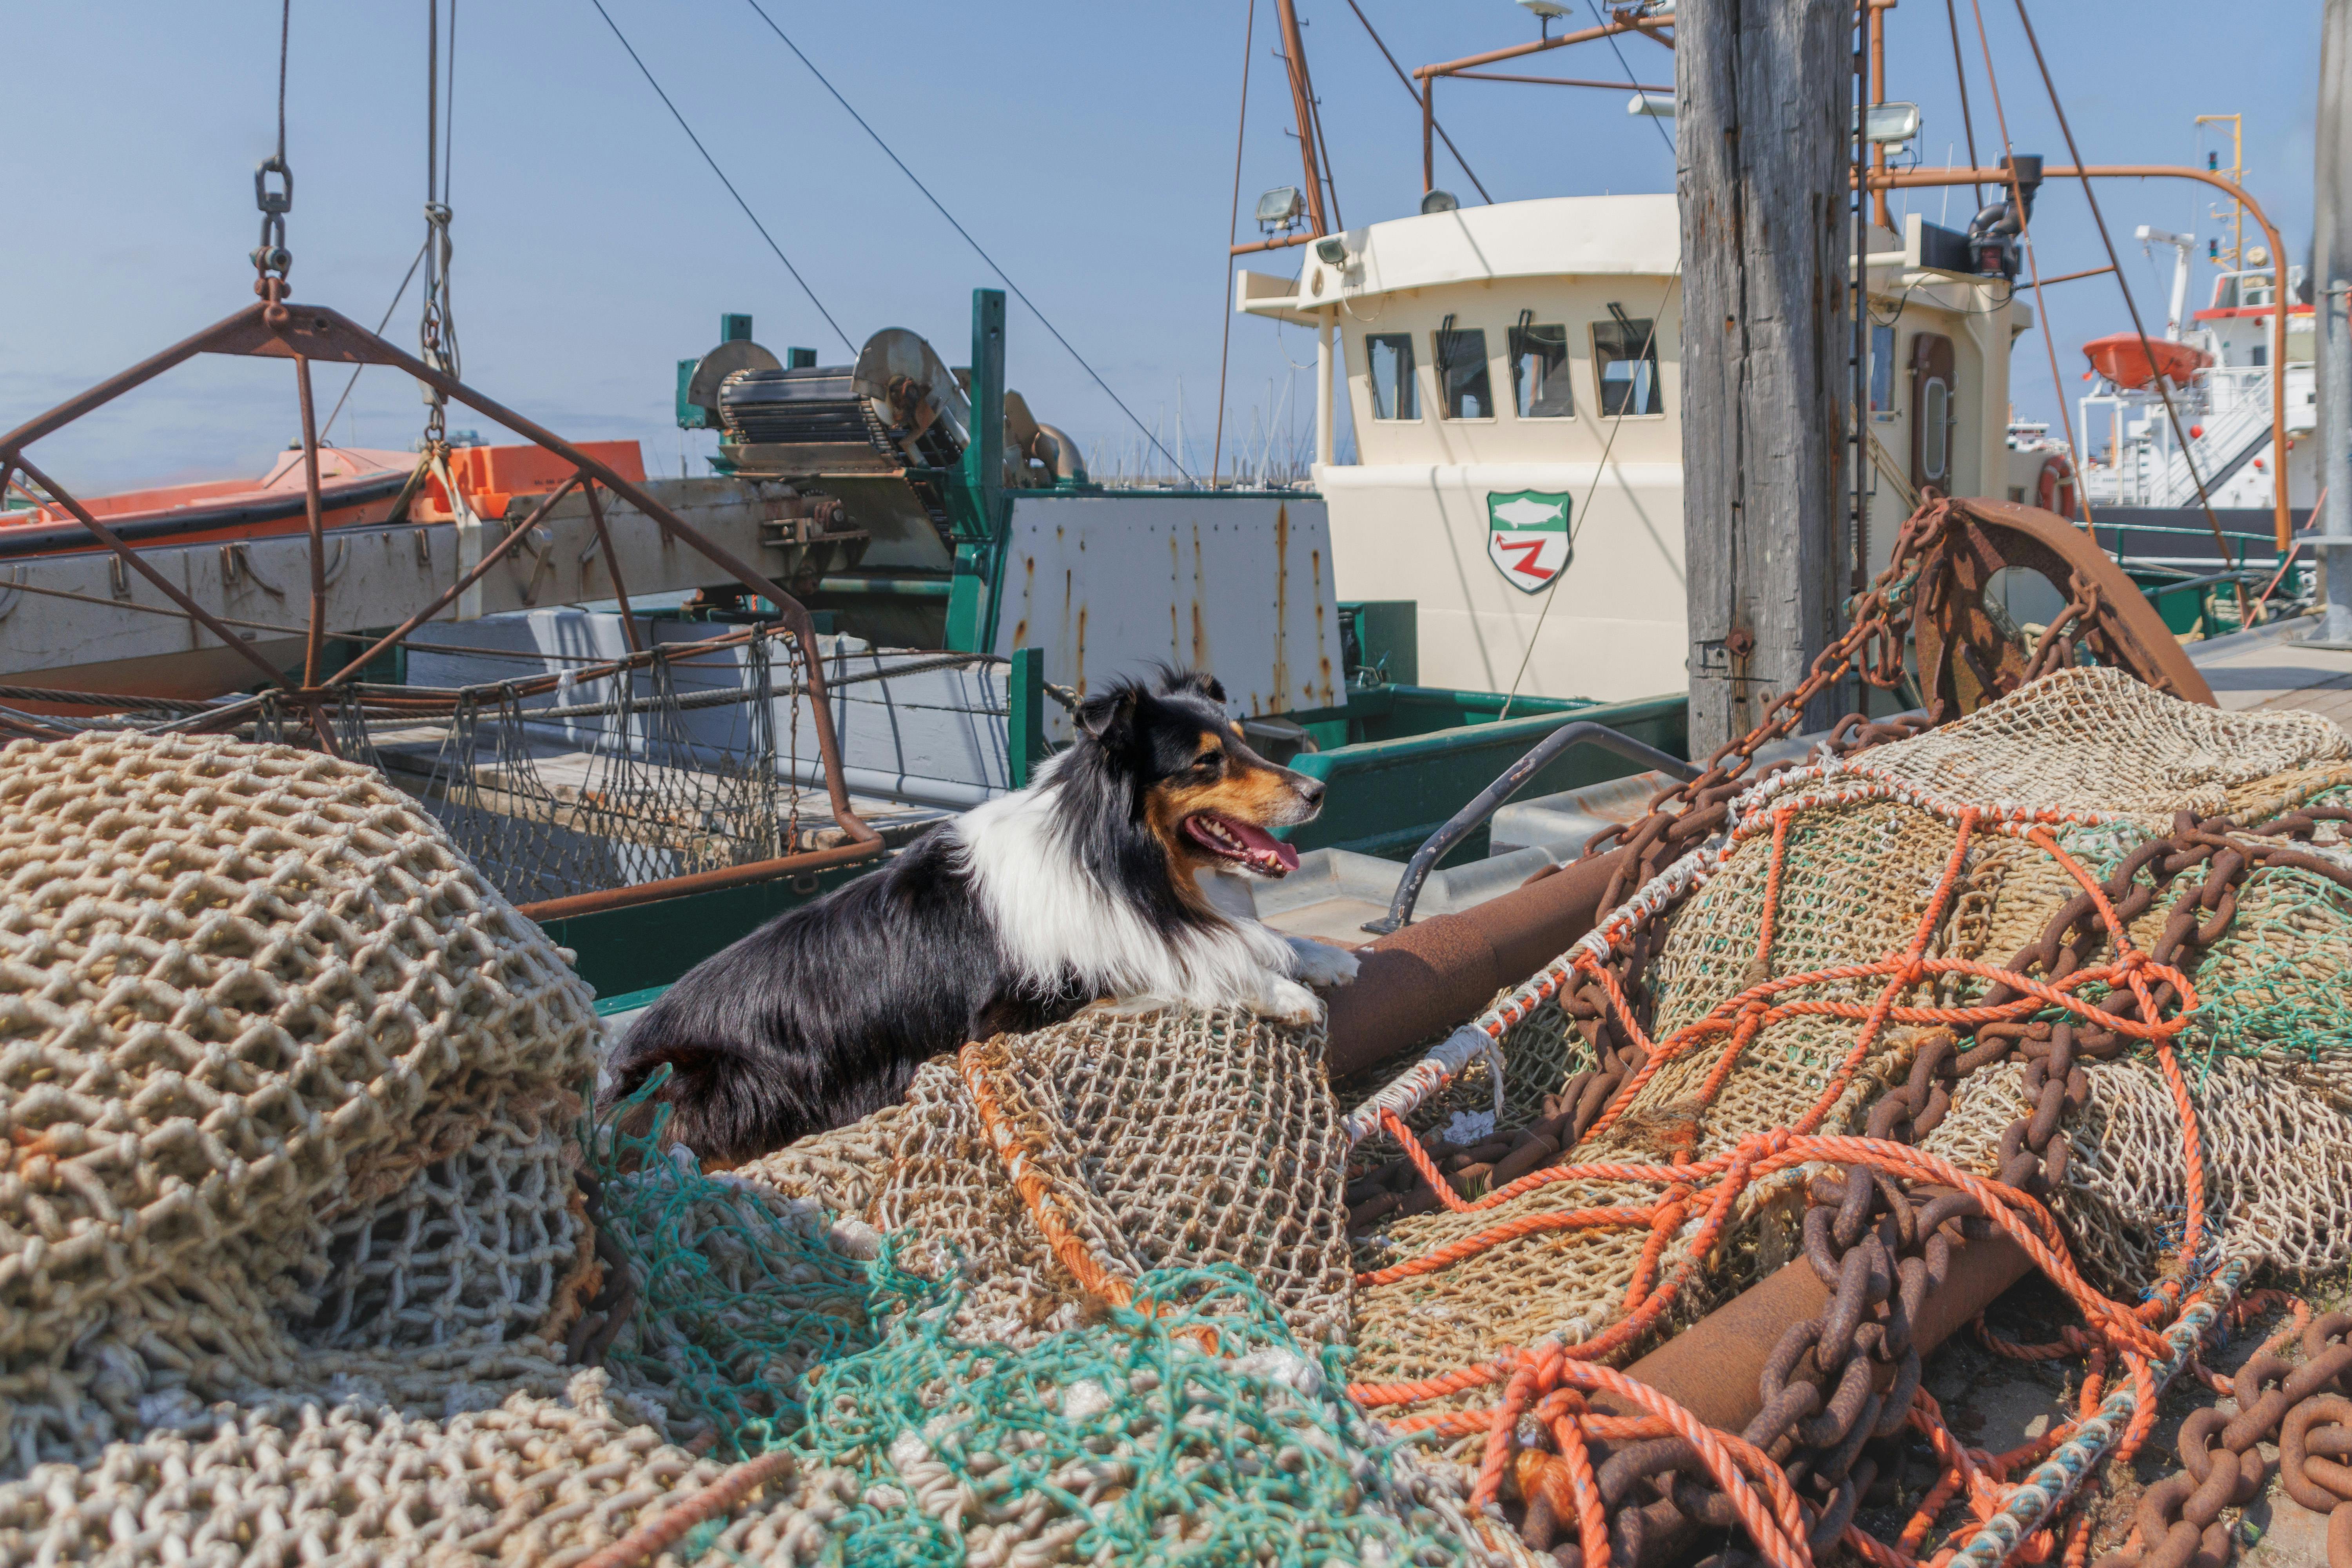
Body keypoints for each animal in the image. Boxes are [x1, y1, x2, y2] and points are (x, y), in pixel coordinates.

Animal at [607, 668, 1364, 1166]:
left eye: (1242, 741)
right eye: (1206, 763)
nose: (1319, 791)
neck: (1115, 859)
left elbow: (1255, 935)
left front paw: (1320, 955)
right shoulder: (1014, 1014)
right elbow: (1181, 963)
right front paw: (1277, 986)